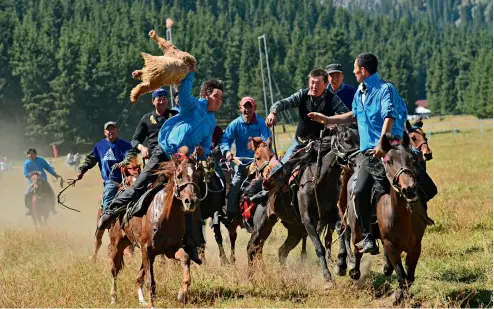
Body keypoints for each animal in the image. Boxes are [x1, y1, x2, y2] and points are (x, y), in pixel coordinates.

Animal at [107, 147, 206, 306]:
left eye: (198, 176)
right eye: (179, 176)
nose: (191, 201)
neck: (165, 216)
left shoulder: (170, 249)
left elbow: (185, 258)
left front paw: (182, 294)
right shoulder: (147, 249)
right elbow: (150, 282)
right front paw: (152, 305)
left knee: (138, 277)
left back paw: (141, 300)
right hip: (118, 245)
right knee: (114, 270)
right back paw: (113, 298)